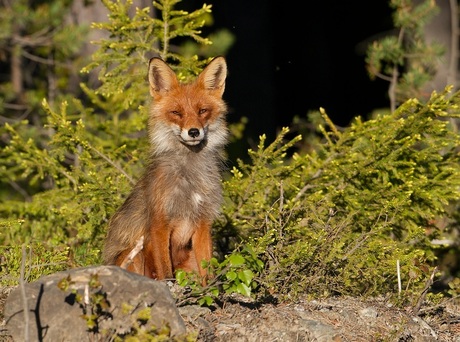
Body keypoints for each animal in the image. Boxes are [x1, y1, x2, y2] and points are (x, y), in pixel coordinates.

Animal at [102, 56, 228, 284]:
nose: (193, 132)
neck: (188, 178)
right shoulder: (159, 224)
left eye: (202, 111)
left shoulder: (203, 222)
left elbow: (208, 274)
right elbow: (165, 270)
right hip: (135, 254)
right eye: (176, 113)